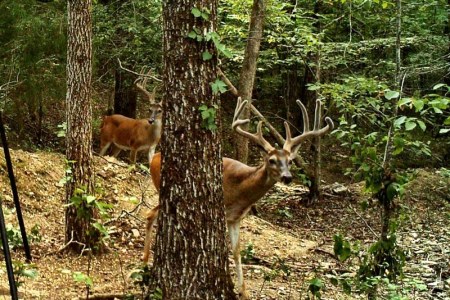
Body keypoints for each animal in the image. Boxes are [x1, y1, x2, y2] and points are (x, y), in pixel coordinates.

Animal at [142, 97, 332, 298]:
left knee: (151, 214)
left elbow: (236, 252)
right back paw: (145, 262)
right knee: (150, 214)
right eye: (272, 160)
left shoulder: (235, 218)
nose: (287, 177)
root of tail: (154, 158)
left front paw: (243, 291)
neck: (241, 192)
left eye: (289, 161)